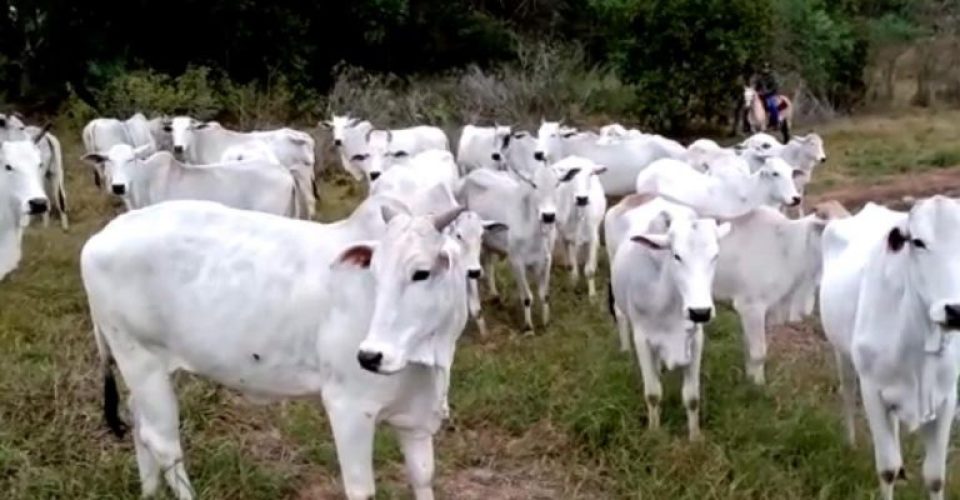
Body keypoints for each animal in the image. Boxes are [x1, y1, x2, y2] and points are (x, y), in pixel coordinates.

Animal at [81, 197, 469, 500]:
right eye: (373, 274)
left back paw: (149, 491)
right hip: (138, 357)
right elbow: (362, 489)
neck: (428, 359)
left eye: (421, 273)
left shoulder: (415, 419)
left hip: (155, 367)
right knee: (163, 442)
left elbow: (423, 478)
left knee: (139, 422)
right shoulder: (348, 407)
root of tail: (101, 236)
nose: (370, 356)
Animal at [165, 117, 317, 219]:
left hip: (303, 178)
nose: (178, 148)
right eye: (172, 129)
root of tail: (301, 135)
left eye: (188, 128)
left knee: (310, 205)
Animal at [553, 156, 607, 298]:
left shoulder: (592, 238)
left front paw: (592, 296)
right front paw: (572, 286)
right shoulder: (564, 238)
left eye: (591, 174)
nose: (582, 199)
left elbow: (589, 270)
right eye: (570, 176)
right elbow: (571, 265)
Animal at [609, 196, 731, 440]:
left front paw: (695, 437)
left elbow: (692, 397)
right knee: (620, 315)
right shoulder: (642, 339)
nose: (700, 312)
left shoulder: (696, 338)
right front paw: (654, 432)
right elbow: (653, 394)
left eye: (715, 256)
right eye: (677, 256)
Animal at [819, 196, 960, 500]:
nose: (955, 310)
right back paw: (850, 443)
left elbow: (935, 477)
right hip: (842, 354)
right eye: (917, 242)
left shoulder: (947, 397)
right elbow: (887, 470)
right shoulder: (872, 392)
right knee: (847, 391)